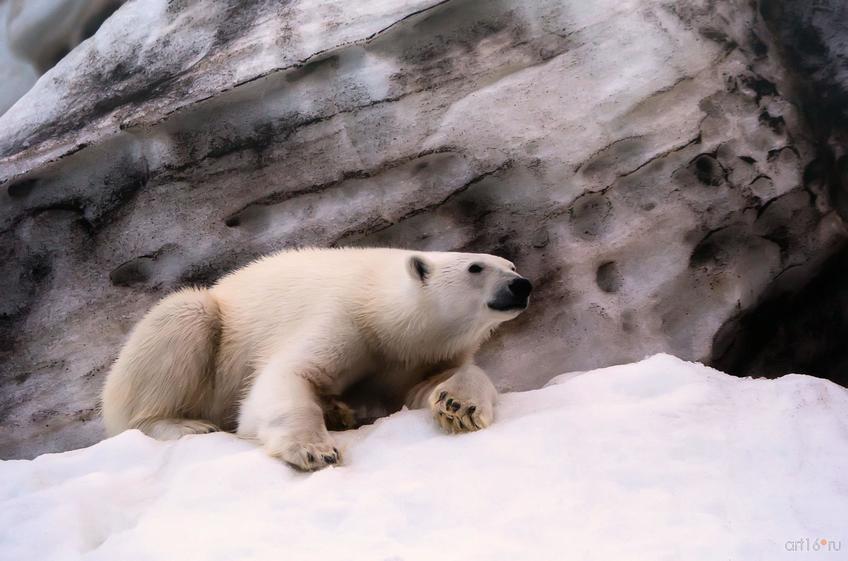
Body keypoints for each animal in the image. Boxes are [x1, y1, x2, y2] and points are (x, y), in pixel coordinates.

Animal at [101, 247, 528, 470]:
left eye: (510, 264)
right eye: (476, 267)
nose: (521, 284)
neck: (383, 312)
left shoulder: (422, 355)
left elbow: (435, 384)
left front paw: (459, 406)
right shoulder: (343, 318)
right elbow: (289, 376)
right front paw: (315, 450)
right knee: (185, 315)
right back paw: (185, 425)